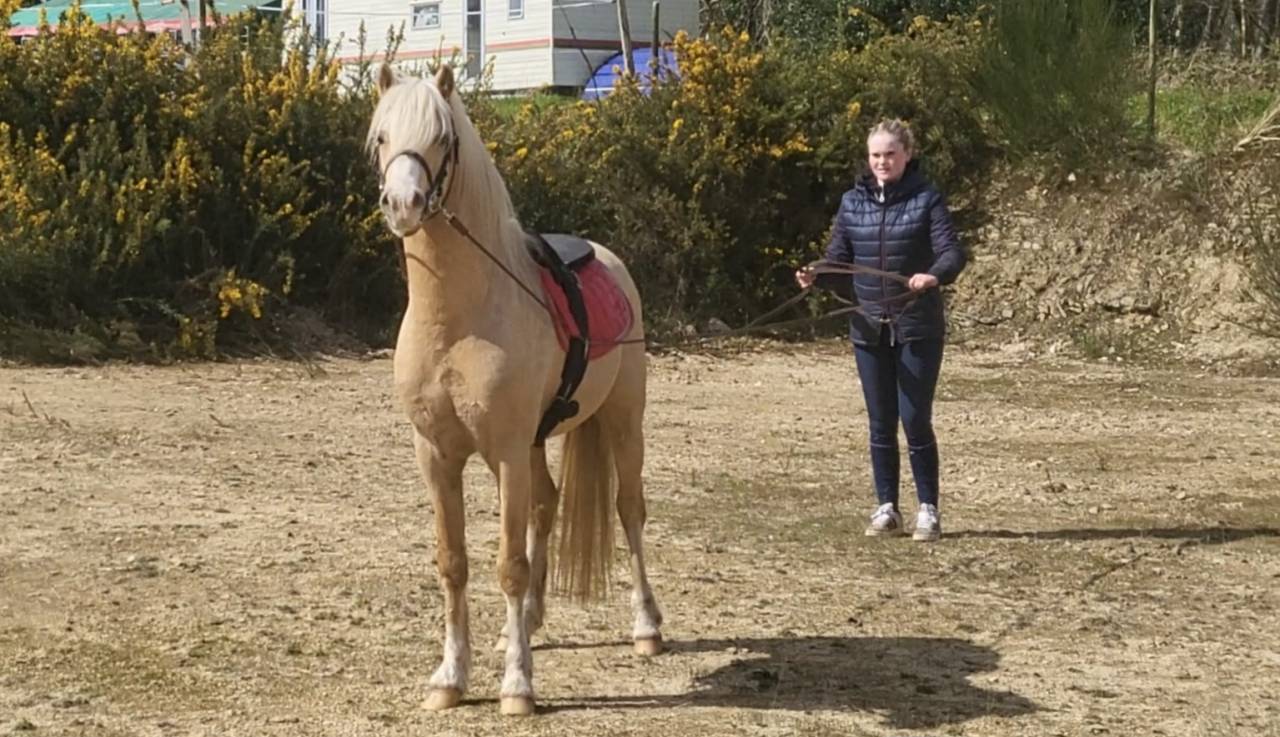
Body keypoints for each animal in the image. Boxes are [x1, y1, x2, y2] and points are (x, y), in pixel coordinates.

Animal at [365, 63, 664, 716]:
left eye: (442, 137)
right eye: (380, 138)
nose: (403, 204)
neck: (459, 319)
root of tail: (609, 258)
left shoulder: (503, 451)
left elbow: (508, 565)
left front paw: (517, 686)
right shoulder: (438, 455)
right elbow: (454, 563)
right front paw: (450, 678)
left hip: (622, 422)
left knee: (628, 510)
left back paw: (647, 627)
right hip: (532, 446)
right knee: (547, 504)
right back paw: (525, 623)